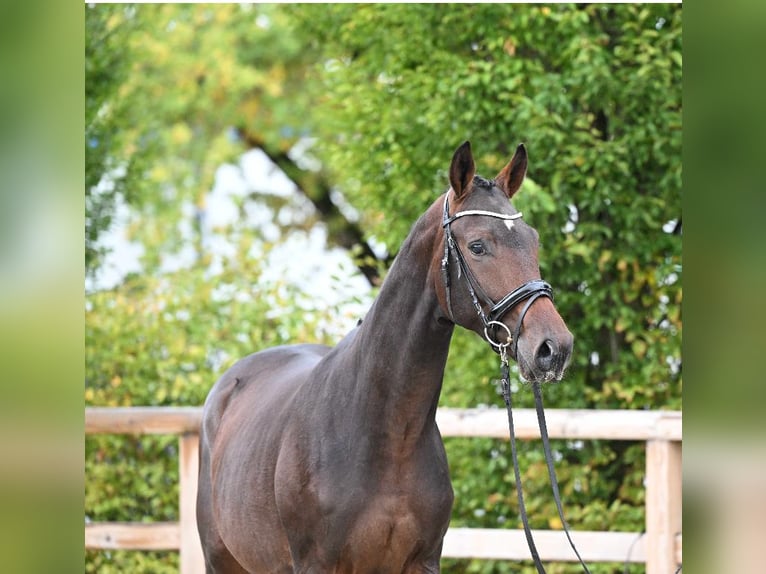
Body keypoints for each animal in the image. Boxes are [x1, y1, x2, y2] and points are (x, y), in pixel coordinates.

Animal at [196, 141, 574, 573]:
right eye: (478, 246)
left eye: (533, 240)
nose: (554, 347)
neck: (389, 436)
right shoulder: (315, 564)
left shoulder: (423, 562)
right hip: (220, 559)